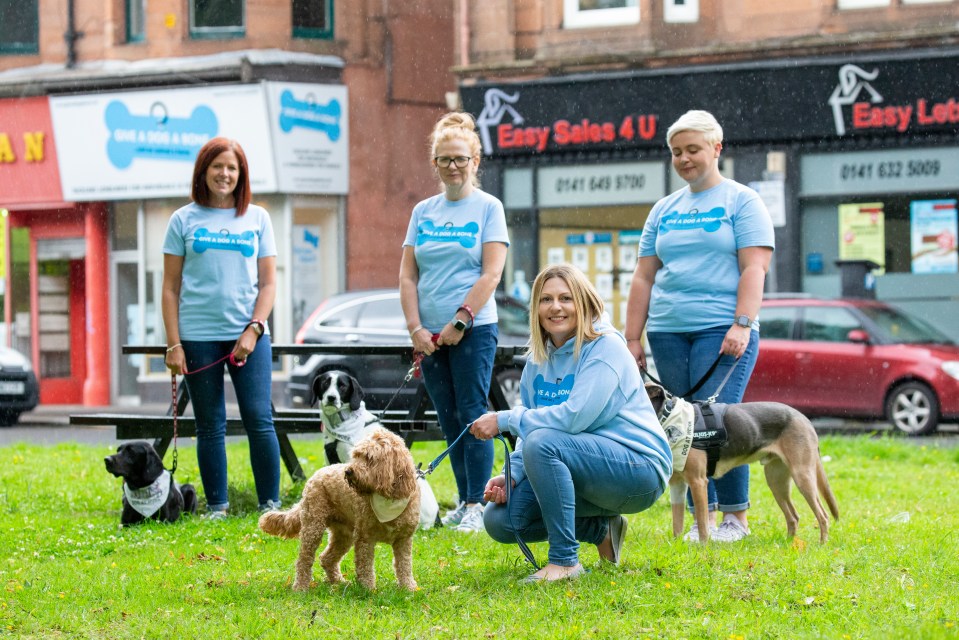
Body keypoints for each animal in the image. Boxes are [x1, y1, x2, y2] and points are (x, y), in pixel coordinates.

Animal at [258, 428, 420, 592]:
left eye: (369, 457)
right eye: (356, 455)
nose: (348, 471)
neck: (388, 498)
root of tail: (316, 474)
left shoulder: (403, 540)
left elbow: (404, 565)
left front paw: (408, 587)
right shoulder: (365, 538)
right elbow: (365, 566)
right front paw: (368, 589)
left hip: (344, 535)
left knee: (326, 558)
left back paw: (338, 582)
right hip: (313, 527)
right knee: (304, 559)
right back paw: (301, 587)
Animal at [644, 382, 840, 544]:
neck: (670, 418)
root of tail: (804, 418)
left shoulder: (698, 481)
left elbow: (703, 524)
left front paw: (703, 548)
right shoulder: (677, 484)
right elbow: (677, 522)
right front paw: (676, 547)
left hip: (802, 475)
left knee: (823, 515)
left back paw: (821, 544)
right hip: (776, 481)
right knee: (793, 516)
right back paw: (789, 544)